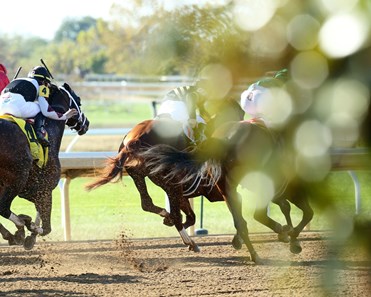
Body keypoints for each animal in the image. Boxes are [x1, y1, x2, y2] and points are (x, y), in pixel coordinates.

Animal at [0, 82, 89, 249]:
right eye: (79, 100)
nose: (86, 123)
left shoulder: (34, 191)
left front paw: (27, 234)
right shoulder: (44, 188)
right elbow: (46, 227)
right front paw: (29, 228)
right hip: (17, 178)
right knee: (3, 207)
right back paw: (20, 225)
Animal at [135, 119, 316, 262]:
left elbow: (287, 208)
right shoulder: (287, 188)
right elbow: (306, 212)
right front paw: (291, 237)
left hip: (223, 187)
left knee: (240, 221)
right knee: (258, 215)